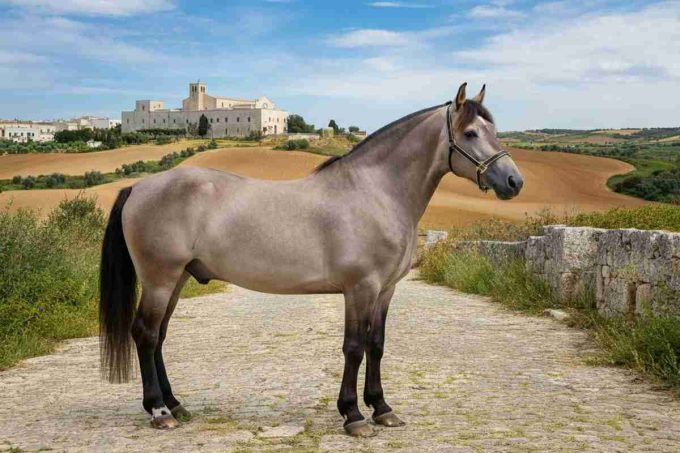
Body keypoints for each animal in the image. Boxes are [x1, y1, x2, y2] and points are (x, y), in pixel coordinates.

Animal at [99, 82, 524, 437]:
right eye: (470, 133)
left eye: (494, 130)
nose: (514, 181)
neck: (375, 193)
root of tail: (139, 186)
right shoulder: (359, 288)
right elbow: (354, 347)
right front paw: (353, 415)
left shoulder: (385, 291)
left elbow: (377, 345)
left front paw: (382, 408)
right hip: (160, 279)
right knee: (145, 334)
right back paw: (159, 412)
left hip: (177, 280)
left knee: (158, 337)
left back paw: (176, 405)